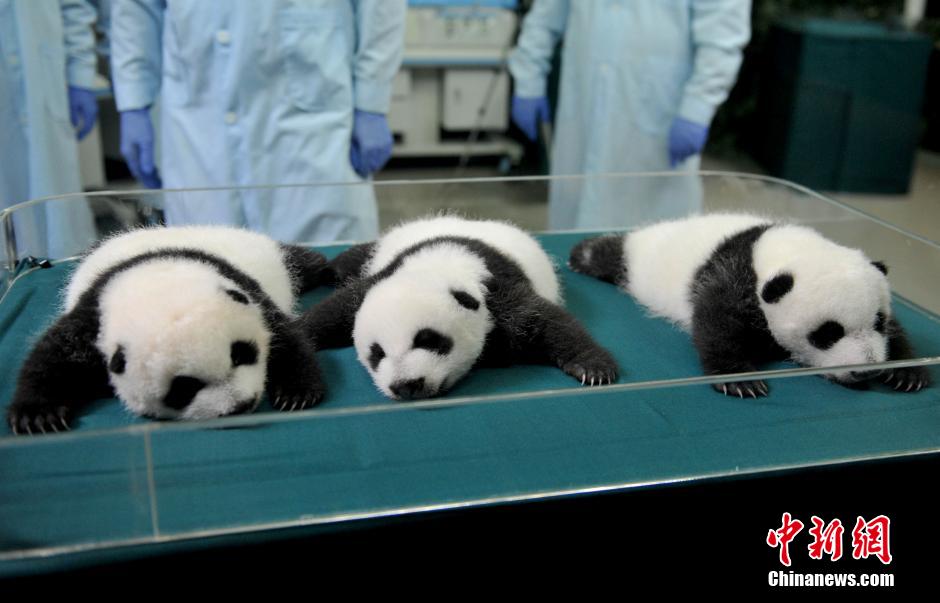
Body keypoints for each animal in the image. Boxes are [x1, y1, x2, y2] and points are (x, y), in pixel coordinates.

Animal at [7, 226, 329, 434]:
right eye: (183, 388)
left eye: (241, 354)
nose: (241, 404)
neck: (156, 275)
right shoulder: (94, 313)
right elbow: (54, 355)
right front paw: (38, 415)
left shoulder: (248, 290)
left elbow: (285, 337)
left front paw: (296, 393)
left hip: (275, 256)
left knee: (302, 262)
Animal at [301, 215, 619, 400]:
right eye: (377, 353)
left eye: (429, 340)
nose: (406, 385)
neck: (438, 264)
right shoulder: (381, 277)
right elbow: (336, 309)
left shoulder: (496, 289)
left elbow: (546, 322)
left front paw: (594, 368)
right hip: (377, 252)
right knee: (352, 261)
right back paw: (324, 266)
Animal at [568, 213, 931, 397]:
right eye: (827, 334)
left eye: (878, 322)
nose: (865, 369)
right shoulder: (735, 277)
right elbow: (717, 323)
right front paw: (741, 380)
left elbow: (899, 332)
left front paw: (906, 372)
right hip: (641, 259)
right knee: (613, 255)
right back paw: (582, 254)